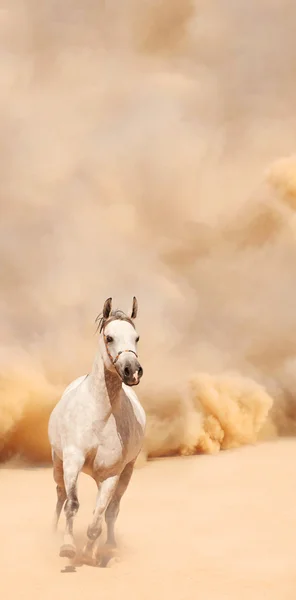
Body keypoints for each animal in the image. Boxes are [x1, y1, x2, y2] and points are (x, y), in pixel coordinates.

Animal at [48, 298, 146, 564]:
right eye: (109, 337)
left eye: (136, 337)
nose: (132, 371)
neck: (100, 416)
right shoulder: (72, 460)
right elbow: (72, 504)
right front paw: (67, 547)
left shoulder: (112, 474)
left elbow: (100, 515)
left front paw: (89, 552)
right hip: (58, 462)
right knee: (60, 496)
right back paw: (53, 532)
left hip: (126, 472)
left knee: (112, 510)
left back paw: (108, 545)